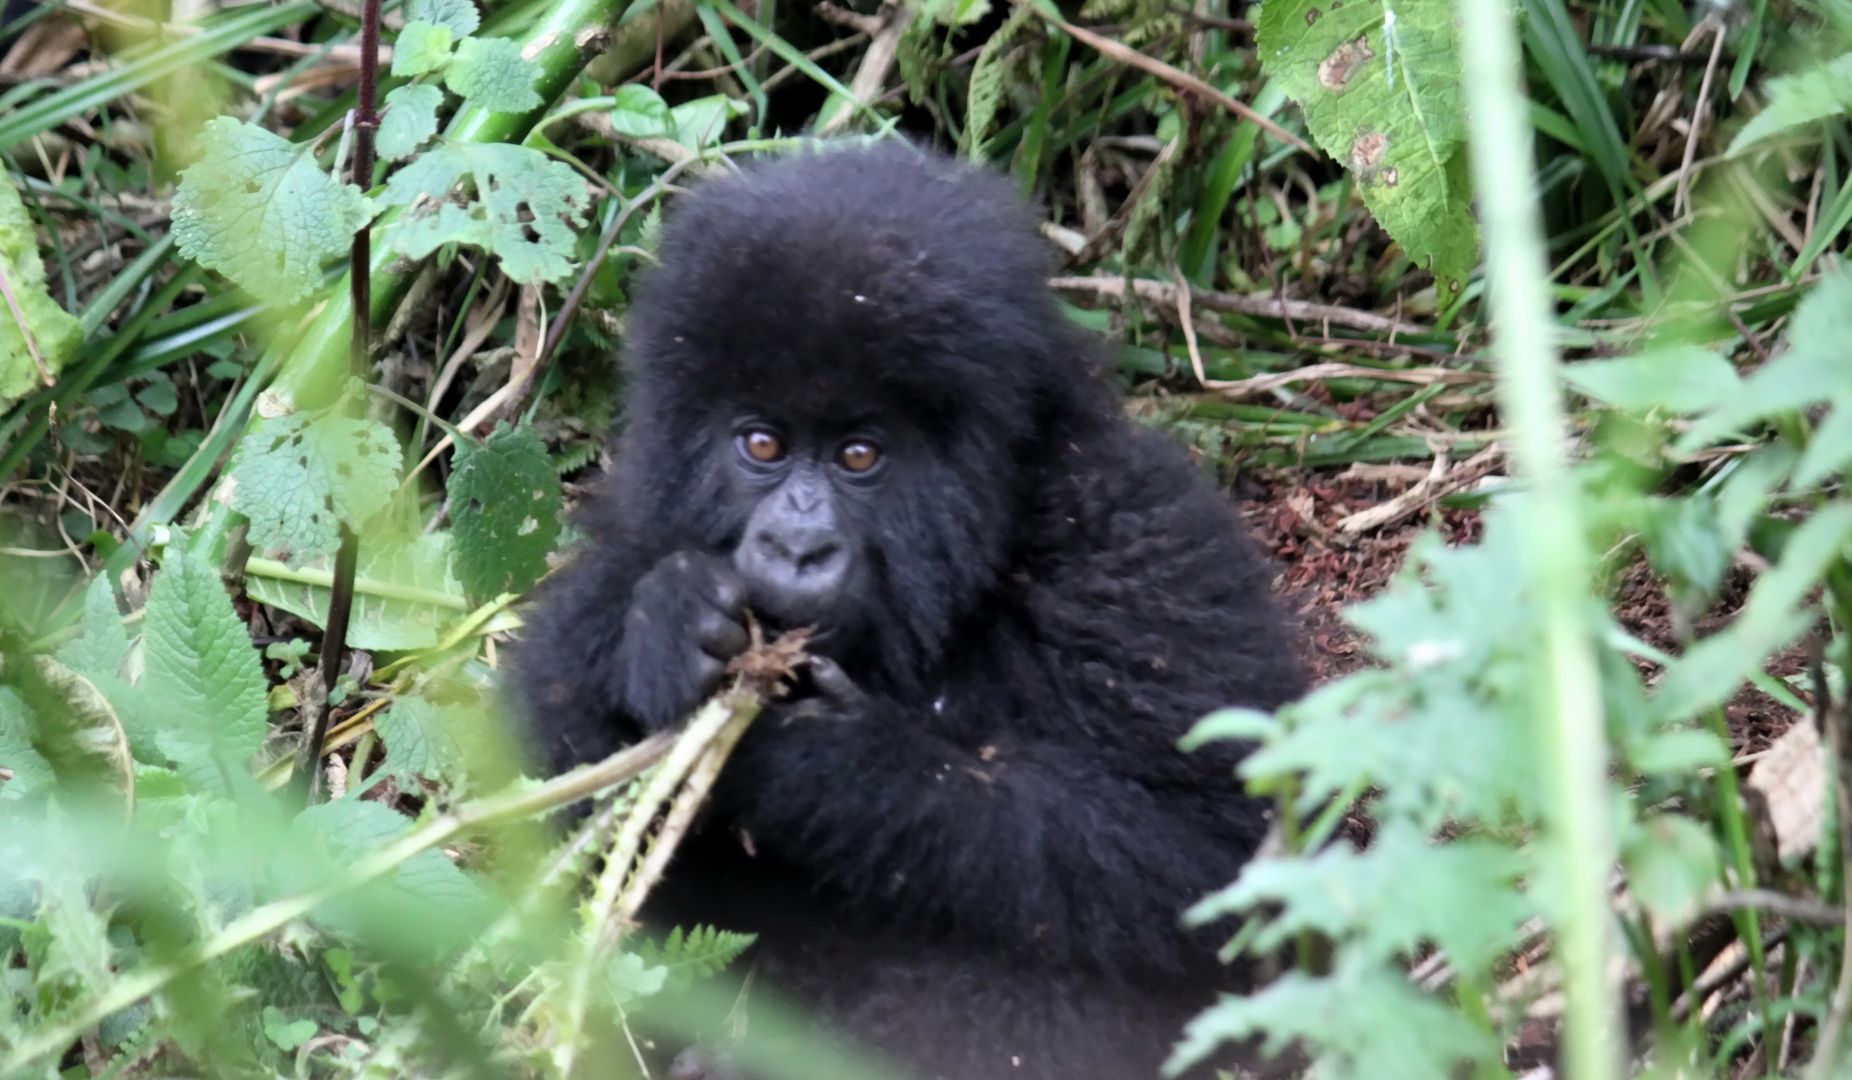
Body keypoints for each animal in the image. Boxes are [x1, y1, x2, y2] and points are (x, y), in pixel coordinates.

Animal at [514, 143, 1303, 1080]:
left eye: (860, 455)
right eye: (762, 444)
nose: (797, 549)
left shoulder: (1135, 542)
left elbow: (1211, 857)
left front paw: (844, 771)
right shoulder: (632, 530)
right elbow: (544, 796)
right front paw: (665, 628)